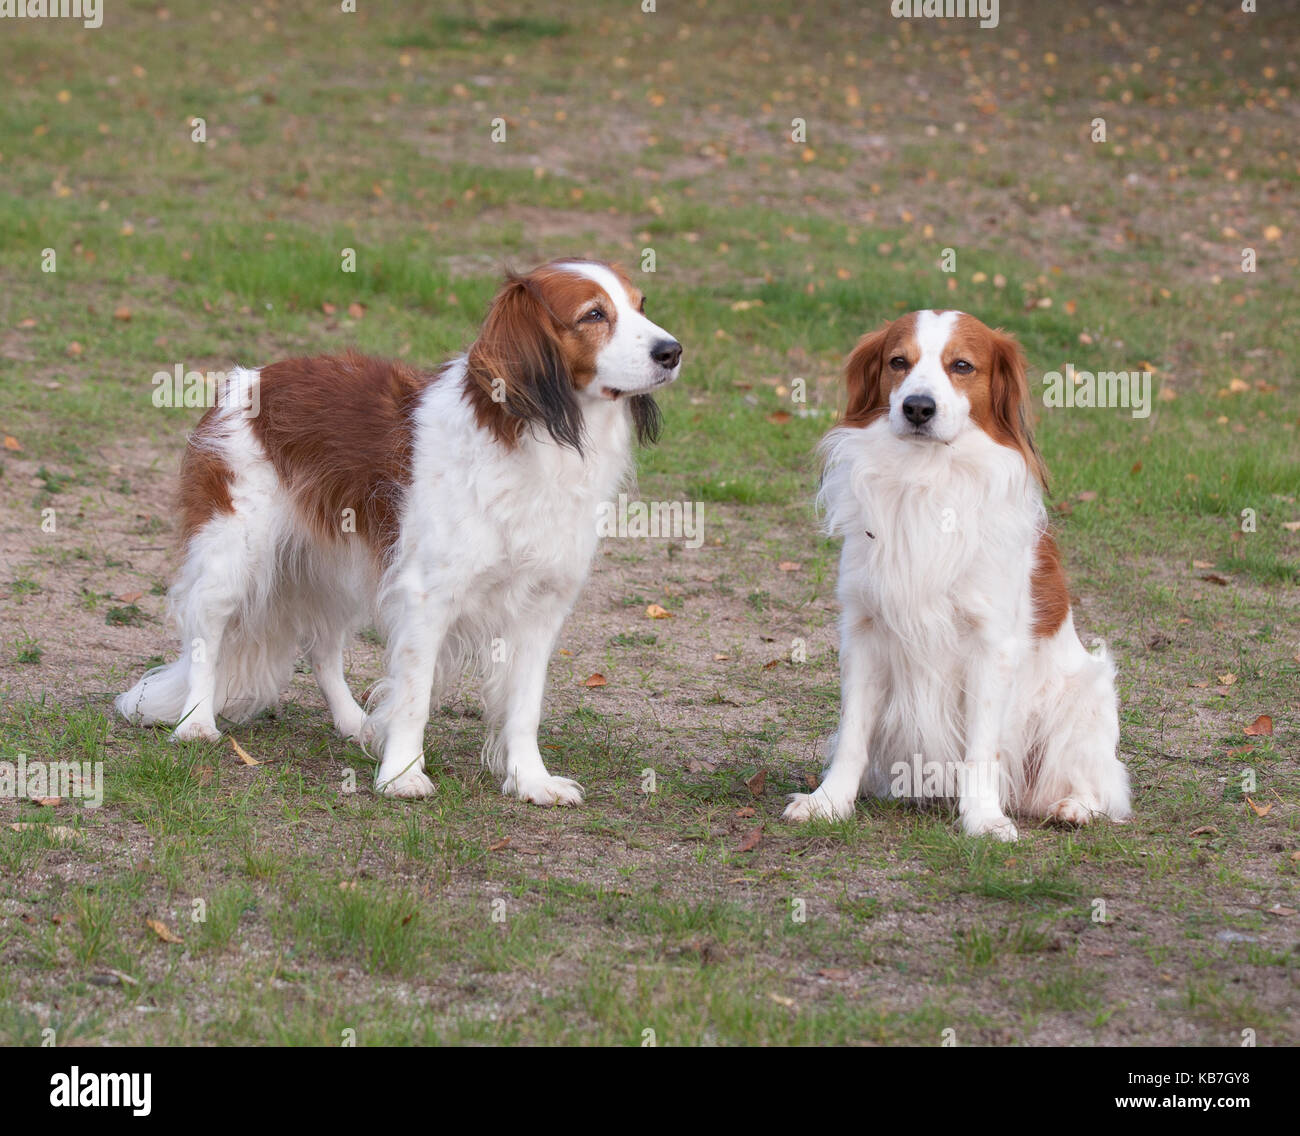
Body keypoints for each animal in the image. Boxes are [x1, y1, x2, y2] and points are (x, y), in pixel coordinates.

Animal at [114, 261, 681, 800]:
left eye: (641, 305)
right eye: (594, 315)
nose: (672, 351)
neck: (532, 436)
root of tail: (246, 379)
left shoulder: (541, 607)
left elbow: (524, 708)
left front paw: (530, 781)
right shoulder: (428, 596)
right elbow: (414, 698)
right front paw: (402, 775)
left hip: (334, 565)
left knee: (321, 648)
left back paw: (354, 723)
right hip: (234, 554)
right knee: (205, 634)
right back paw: (196, 724)